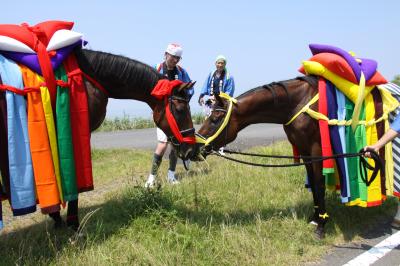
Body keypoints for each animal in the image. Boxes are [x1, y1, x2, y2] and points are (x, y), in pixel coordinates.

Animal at [192, 76, 340, 238]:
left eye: (215, 118)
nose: (195, 147)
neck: (299, 102)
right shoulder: (304, 149)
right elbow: (312, 183)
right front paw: (315, 218)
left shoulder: (316, 149)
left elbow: (319, 184)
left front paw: (321, 225)